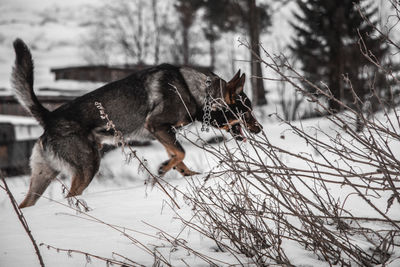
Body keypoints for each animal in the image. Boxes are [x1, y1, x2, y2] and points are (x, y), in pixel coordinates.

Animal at [11, 39, 262, 209]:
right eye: (247, 112)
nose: (259, 129)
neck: (198, 92)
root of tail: (49, 117)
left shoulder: (164, 132)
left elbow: (179, 158)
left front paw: (186, 174)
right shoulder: (157, 125)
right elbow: (180, 153)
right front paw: (163, 168)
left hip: (43, 175)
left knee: (26, 204)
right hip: (88, 166)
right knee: (71, 195)